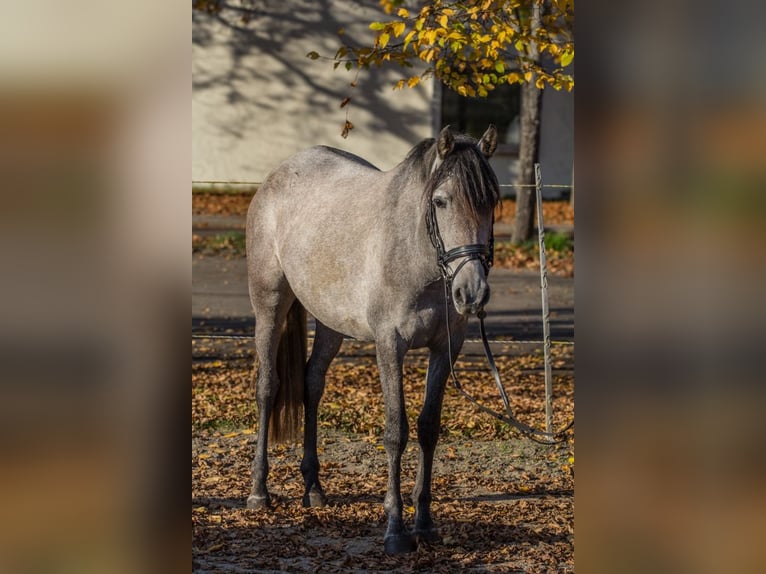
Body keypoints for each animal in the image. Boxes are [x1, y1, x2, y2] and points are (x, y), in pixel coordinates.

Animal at [243, 125, 500, 552]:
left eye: (492, 201)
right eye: (441, 201)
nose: (472, 293)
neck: (414, 255)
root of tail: (278, 174)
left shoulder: (445, 350)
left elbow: (428, 429)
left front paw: (425, 522)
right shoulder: (389, 346)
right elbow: (396, 432)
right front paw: (396, 528)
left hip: (330, 320)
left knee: (312, 383)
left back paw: (313, 487)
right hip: (269, 303)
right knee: (267, 387)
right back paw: (259, 491)